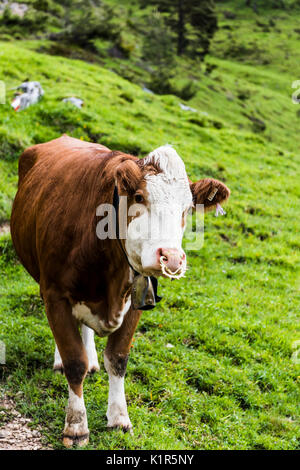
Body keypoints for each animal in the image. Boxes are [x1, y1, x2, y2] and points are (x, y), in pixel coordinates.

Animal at [9, 134, 230, 446]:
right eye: (139, 197)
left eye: (187, 209)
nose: (172, 258)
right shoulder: (55, 293)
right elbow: (73, 360)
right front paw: (76, 426)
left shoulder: (137, 299)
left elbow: (117, 359)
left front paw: (119, 418)